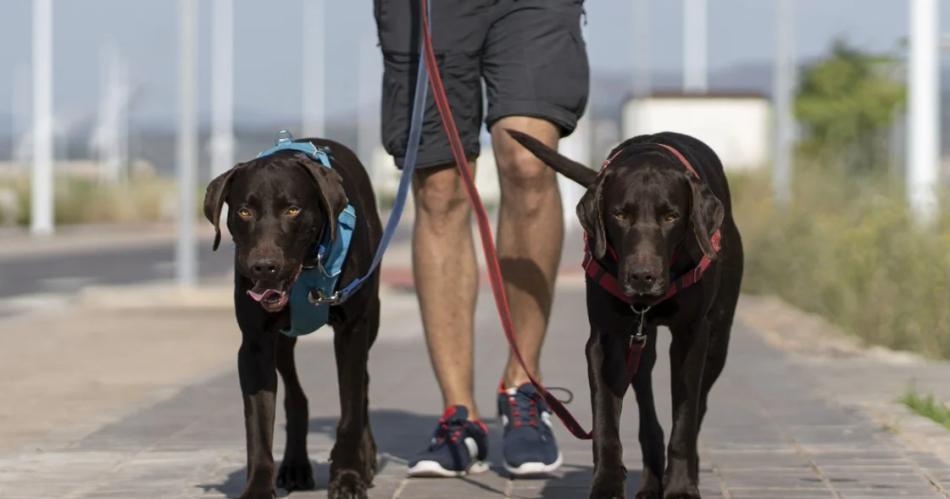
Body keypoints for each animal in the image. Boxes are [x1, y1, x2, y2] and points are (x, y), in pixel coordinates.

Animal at [510, 131, 740, 499]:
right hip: (640, 345)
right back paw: (649, 482)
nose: (642, 277)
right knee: (647, 408)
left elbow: (685, 419)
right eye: (620, 214)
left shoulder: (692, 337)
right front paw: (606, 485)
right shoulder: (605, 342)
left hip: (717, 342)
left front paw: (681, 486)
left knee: (698, 405)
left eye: (671, 216)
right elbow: (605, 423)